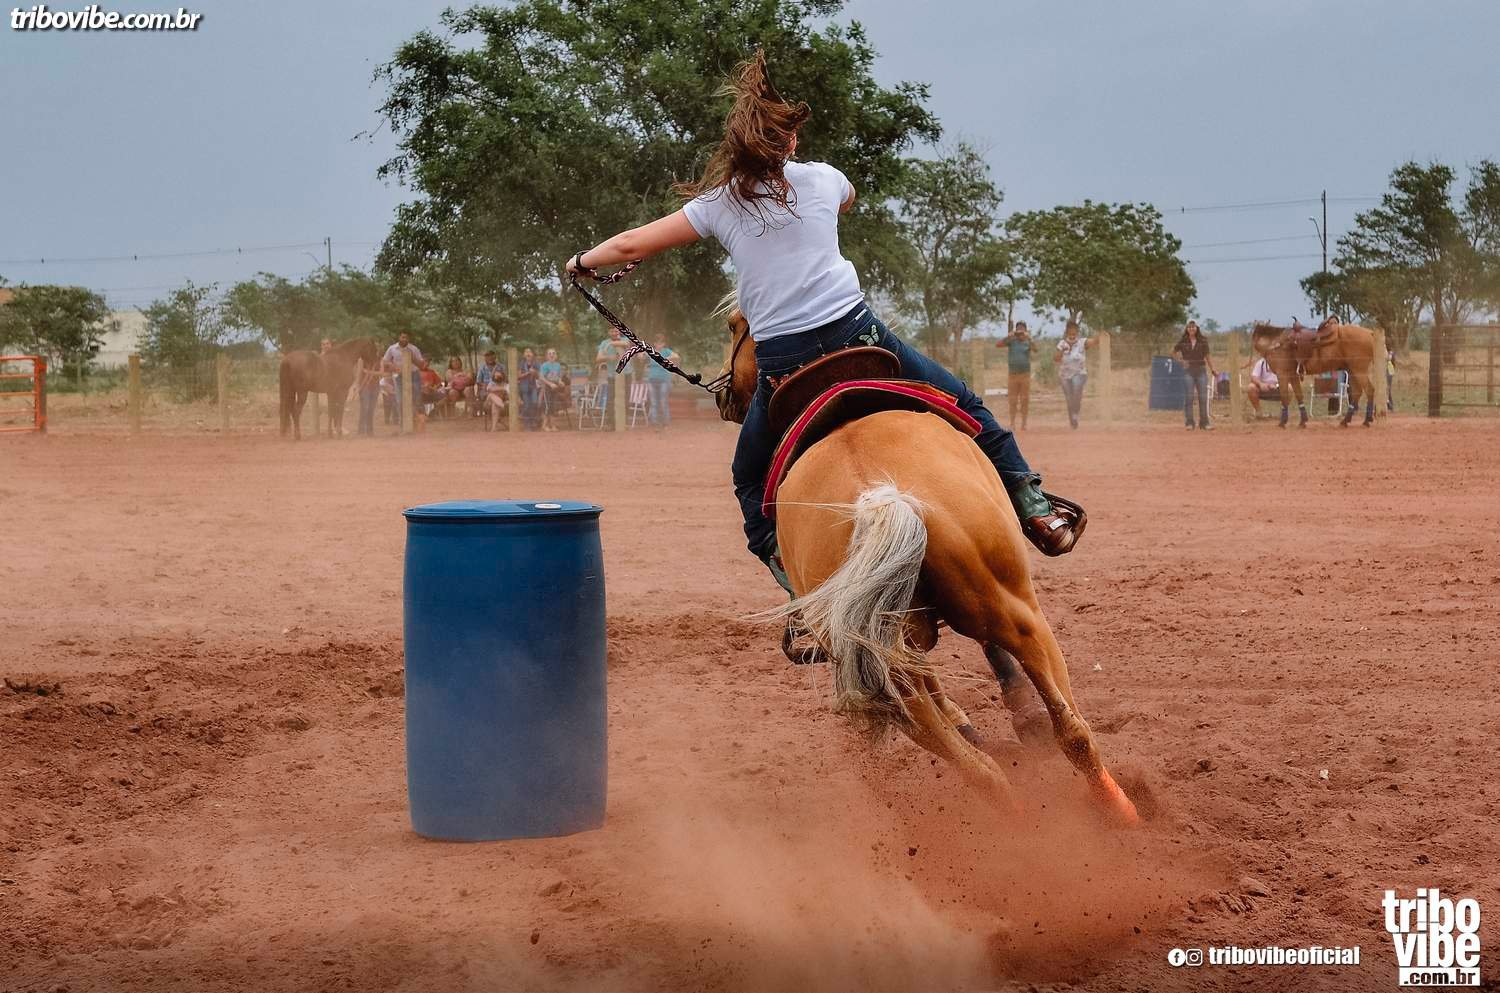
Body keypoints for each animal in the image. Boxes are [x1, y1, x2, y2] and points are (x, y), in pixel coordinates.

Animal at [715, 306, 1139, 825]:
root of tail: (879, 497)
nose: (727, 396)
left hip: (892, 668)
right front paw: (1018, 715)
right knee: (1066, 729)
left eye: (733, 328)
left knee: (983, 764)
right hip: (1016, 608)